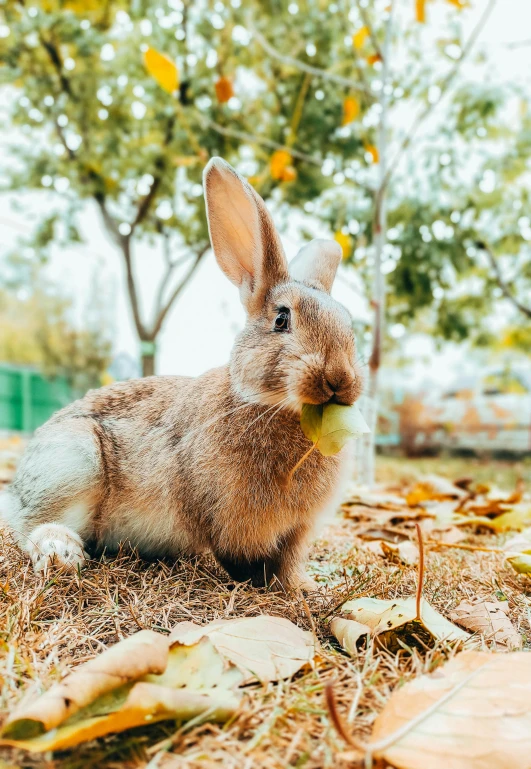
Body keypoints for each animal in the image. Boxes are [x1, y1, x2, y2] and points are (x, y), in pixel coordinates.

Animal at [0, 156, 364, 588]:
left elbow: (287, 564)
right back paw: (61, 553)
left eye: (350, 327)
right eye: (281, 320)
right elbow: (244, 562)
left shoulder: (297, 532)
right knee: (33, 524)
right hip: (73, 460)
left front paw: (300, 589)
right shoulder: (231, 522)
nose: (339, 379)